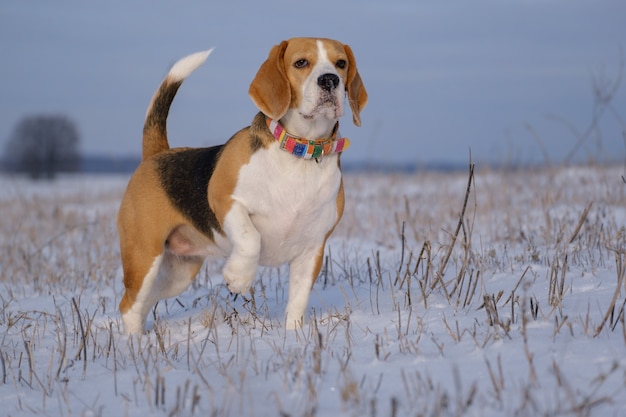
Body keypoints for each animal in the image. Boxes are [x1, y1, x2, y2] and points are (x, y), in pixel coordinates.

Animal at [116, 37, 366, 334]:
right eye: (301, 63)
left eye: (341, 63)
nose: (330, 80)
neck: (300, 153)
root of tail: (158, 153)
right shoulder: (225, 200)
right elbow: (250, 239)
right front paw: (238, 278)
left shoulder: (312, 249)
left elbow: (298, 301)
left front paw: (294, 336)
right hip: (144, 256)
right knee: (129, 304)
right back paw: (134, 341)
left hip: (179, 274)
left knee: (143, 301)